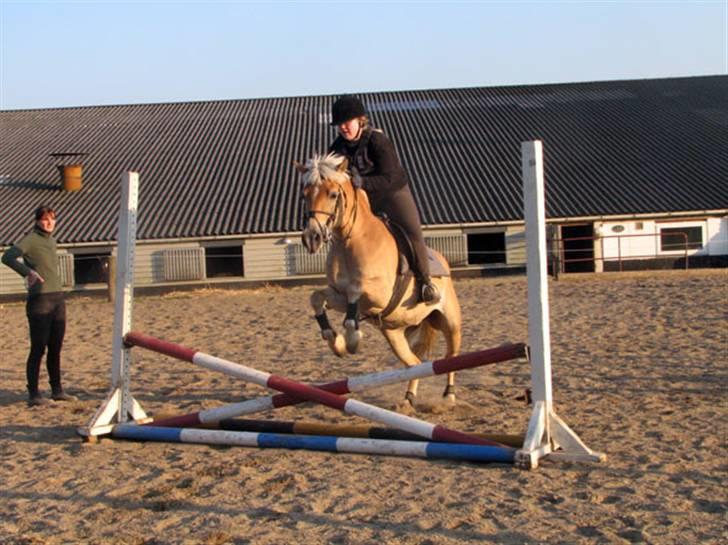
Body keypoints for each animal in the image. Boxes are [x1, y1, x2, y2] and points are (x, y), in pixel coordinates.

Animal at [294, 151, 460, 410]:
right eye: (305, 195)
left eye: (332, 194)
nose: (312, 237)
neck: (351, 242)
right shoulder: (338, 295)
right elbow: (317, 297)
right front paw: (336, 342)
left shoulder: (379, 294)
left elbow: (356, 290)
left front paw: (352, 339)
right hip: (394, 334)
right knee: (414, 363)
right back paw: (407, 399)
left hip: (450, 321)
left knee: (451, 356)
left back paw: (449, 396)